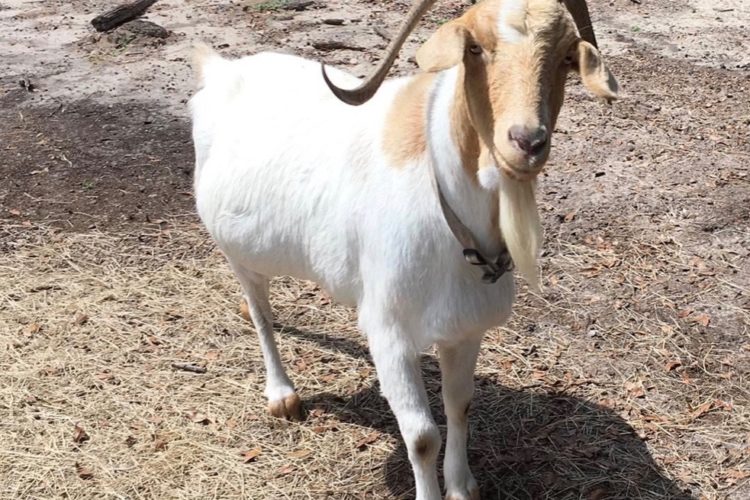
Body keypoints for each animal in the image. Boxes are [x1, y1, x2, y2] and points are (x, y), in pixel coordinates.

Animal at [189, 1, 618, 498]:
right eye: (475, 47)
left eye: (567, 57)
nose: (527, 142)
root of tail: (220, 71)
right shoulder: (389, 332)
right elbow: (421, 437)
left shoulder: (465, 330)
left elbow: (459, 406)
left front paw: (462, 486)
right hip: (237, 252)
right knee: (260, 311)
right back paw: (282, 395)